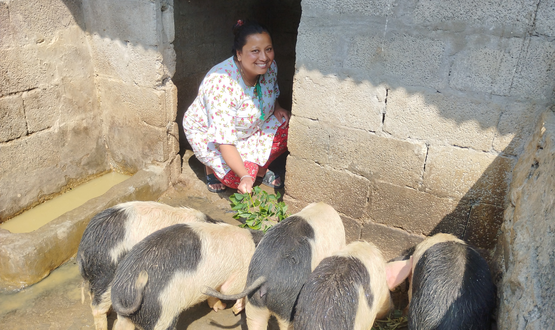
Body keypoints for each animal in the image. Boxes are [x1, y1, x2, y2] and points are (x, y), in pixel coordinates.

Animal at [111, 219, 262, 330]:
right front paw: (234, 309)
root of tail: (125, 291)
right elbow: (231, 291)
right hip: (162, 312)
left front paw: (220, 307)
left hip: (125, 317)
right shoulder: (239, 274)